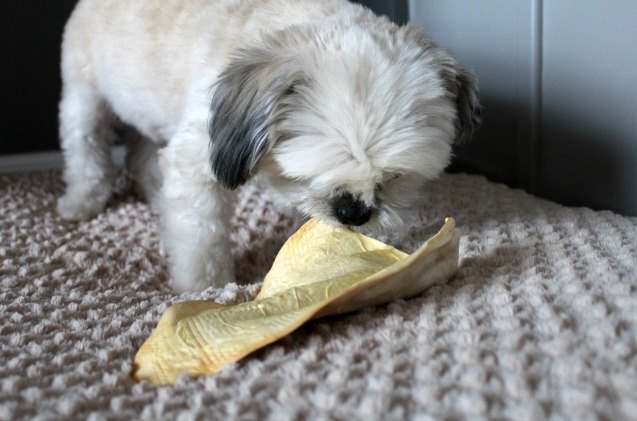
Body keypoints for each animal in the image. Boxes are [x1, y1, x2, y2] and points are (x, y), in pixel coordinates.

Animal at [58, 0, 476, 292]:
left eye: (393, 178)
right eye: (309, 175)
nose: (353, 212)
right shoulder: (198, 159)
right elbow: (200, 238)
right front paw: (205, 288)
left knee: (140, 152)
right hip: (85, 94)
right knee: (85, 147)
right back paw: (81, 201)